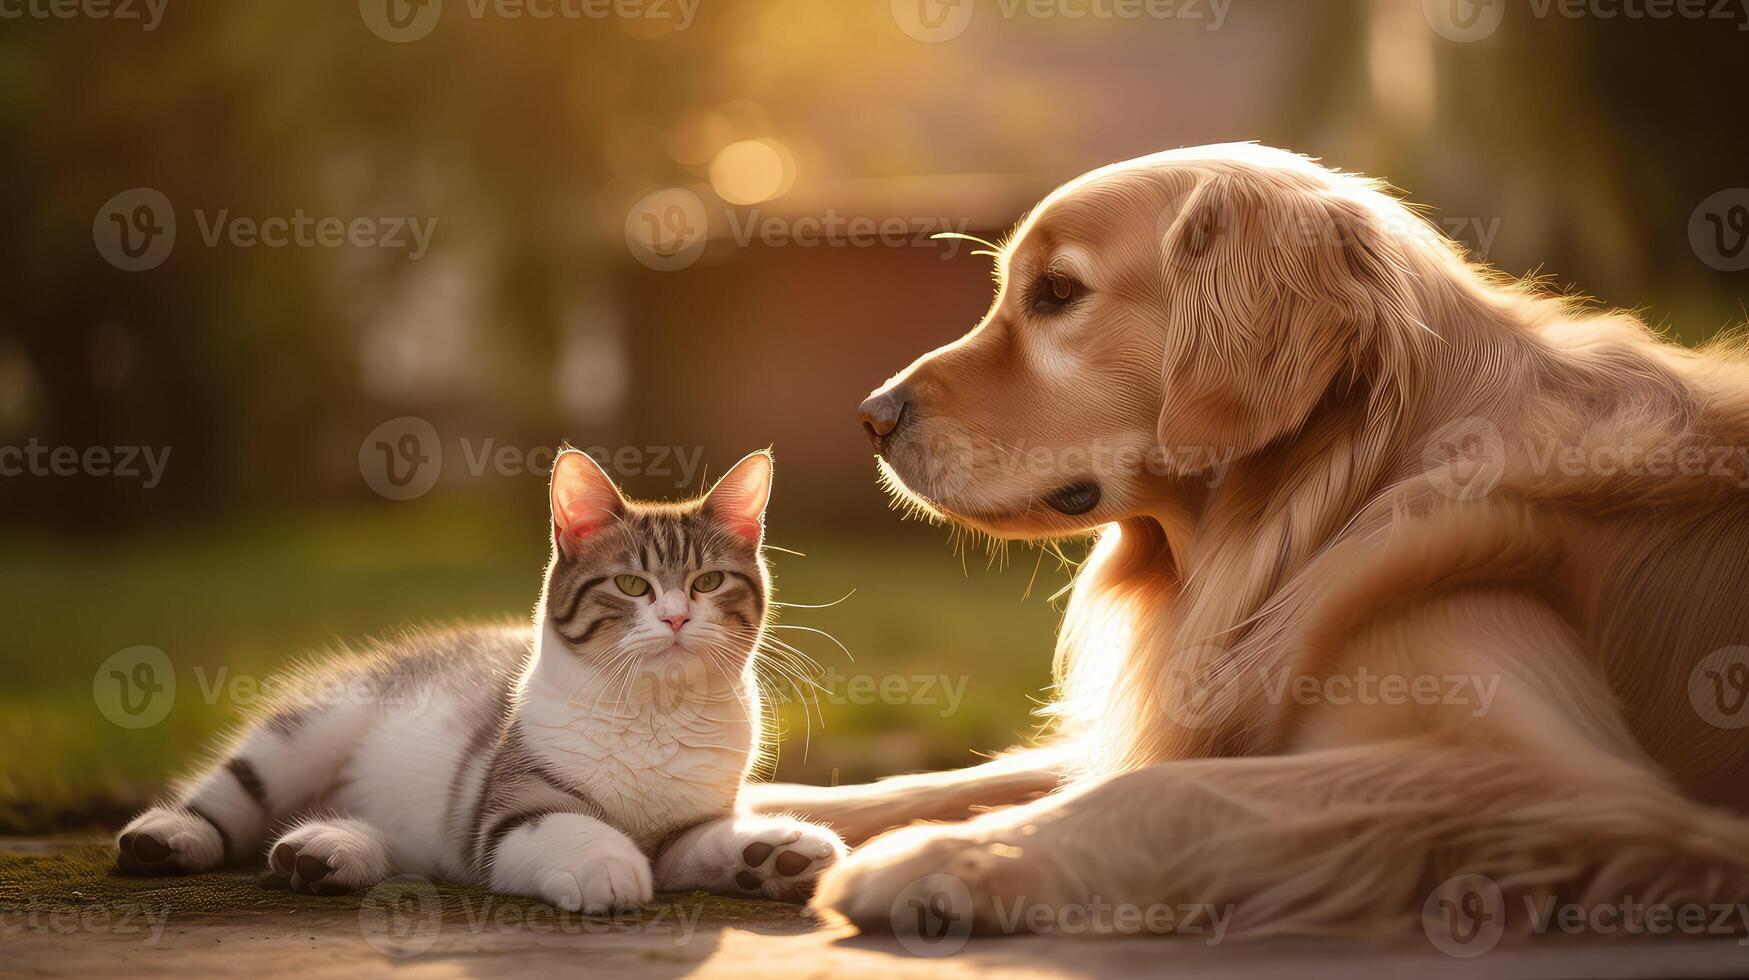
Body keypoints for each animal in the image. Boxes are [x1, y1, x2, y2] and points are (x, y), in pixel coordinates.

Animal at [112, 451, 843, 910]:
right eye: (632, 584)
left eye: (708, 581)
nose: (675, 616)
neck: (653, 714)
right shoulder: (508, 812)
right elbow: (567, 828)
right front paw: (606, 865)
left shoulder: (686, 824)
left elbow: (700, 843)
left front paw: (771, 853)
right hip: (314, 727)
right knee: (234, 794)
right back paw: (170, 837)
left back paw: (322, 849)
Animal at [745, 140, 1749, 945]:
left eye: (1057, 293)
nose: (871, 417)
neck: (1338, 492)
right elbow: (961, 774)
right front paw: (766, 815)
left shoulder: (1550, 778)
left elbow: (1167, 790)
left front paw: (949, 857)